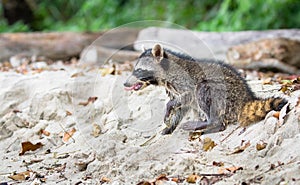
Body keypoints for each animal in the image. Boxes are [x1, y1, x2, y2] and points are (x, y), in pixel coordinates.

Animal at [123, 44, 288, 135]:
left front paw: (169, 108)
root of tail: (245, 97)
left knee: (202, 90)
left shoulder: (184, 81)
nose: (125, 83)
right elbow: (181, 106)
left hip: (223, 93)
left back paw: (211, 123)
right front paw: (171, 124)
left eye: (138, 70)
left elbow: (189, 96)